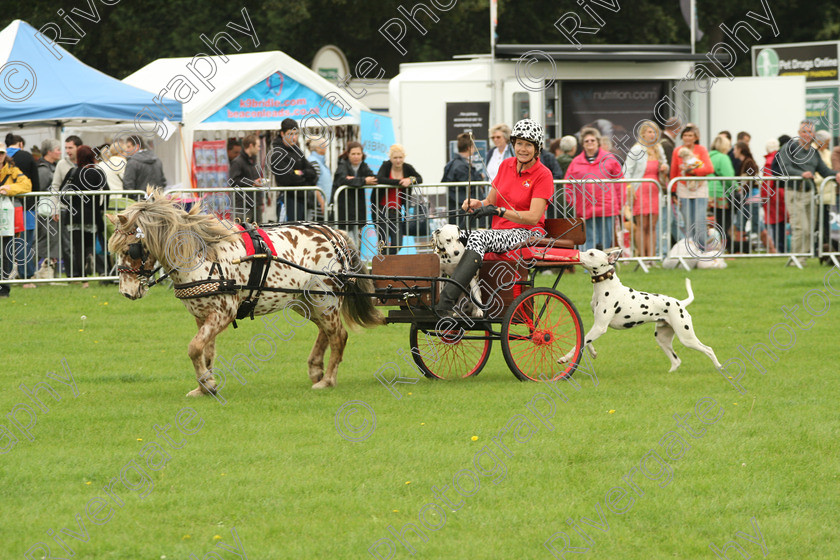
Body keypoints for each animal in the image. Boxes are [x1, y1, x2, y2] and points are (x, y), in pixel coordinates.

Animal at [106, 192, 382, 394]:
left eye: (131, 249)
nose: (126, 292)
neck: (202, 256)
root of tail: (335, 234)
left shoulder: (223, 313)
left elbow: (194, 348)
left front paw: (207, 384)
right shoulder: (202, 316)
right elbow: (206, 351)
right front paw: (204, 386)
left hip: (325, 298)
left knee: (339, 336)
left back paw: (328, 380)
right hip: (306, 301)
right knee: (327, 332)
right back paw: (316, 370)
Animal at [556, 248, 720, 372]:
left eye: (591, 254)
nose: (576, 253)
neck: (606, 287)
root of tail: (680, 303)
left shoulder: (600, 327)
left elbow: (579, 343)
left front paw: (565, 358)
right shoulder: (597, 325)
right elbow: (584, 340)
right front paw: (593, 353)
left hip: (686, 337)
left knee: (708, 349)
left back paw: (719, 367)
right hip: (662, 338)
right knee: (676, 361)